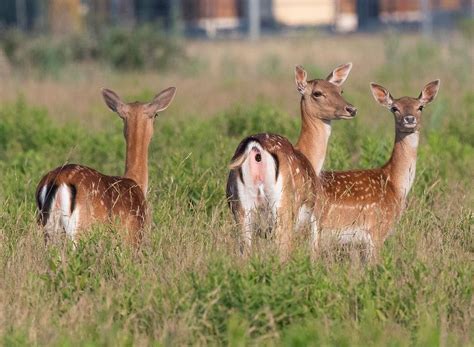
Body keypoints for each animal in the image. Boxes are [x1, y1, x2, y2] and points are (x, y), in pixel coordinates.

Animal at [35, 86, 176, 246]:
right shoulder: (133, 236)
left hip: (47, 228)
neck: (137, 183)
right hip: (80, 228)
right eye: (156, 114)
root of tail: (57, 181)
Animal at [226, 63, 356, 258]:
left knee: (245, 251)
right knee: (283, 250)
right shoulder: (314, 213)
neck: (310, 159)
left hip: (241, 208)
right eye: (317, 93)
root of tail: (255, 148)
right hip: (284, 205)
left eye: (340, 90)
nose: (351, 109)